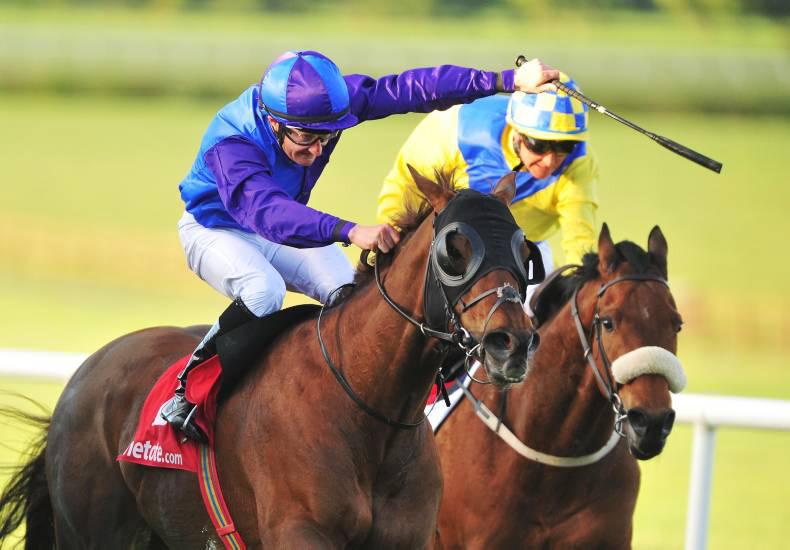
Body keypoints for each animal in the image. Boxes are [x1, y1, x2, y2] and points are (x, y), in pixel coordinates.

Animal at [0, 168, 541, 549]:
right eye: (455, 248)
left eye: (523, 249)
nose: (510, 341)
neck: (369, 408)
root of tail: (83, 376)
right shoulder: (300, 532)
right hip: (91, 532)